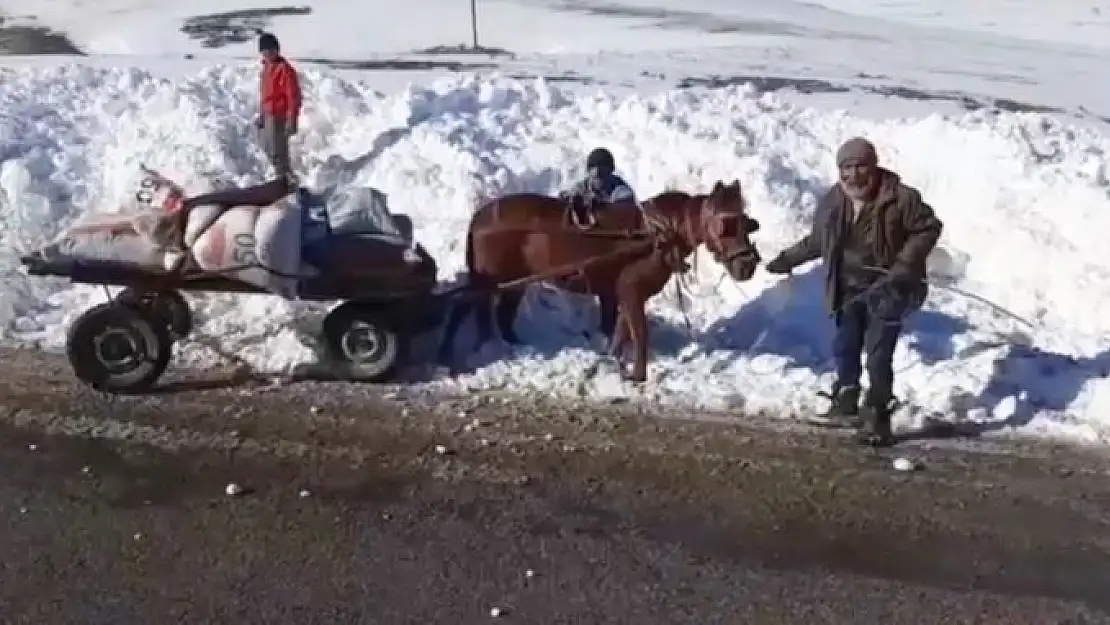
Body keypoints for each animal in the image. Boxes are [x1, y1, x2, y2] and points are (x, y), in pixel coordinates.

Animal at [432, 179, 763, 381]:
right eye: (726, 223)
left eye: (747, 221)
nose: (748, 265)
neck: (659, 233)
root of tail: (479, 216)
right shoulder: (630, 290)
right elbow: (639, 332)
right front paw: (638, 375)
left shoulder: (623, 294)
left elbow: (621, 330)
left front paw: (614, 363)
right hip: (488, 279)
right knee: (464, 306)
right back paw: (447, 352)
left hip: (515, 280)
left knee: (501, 314)